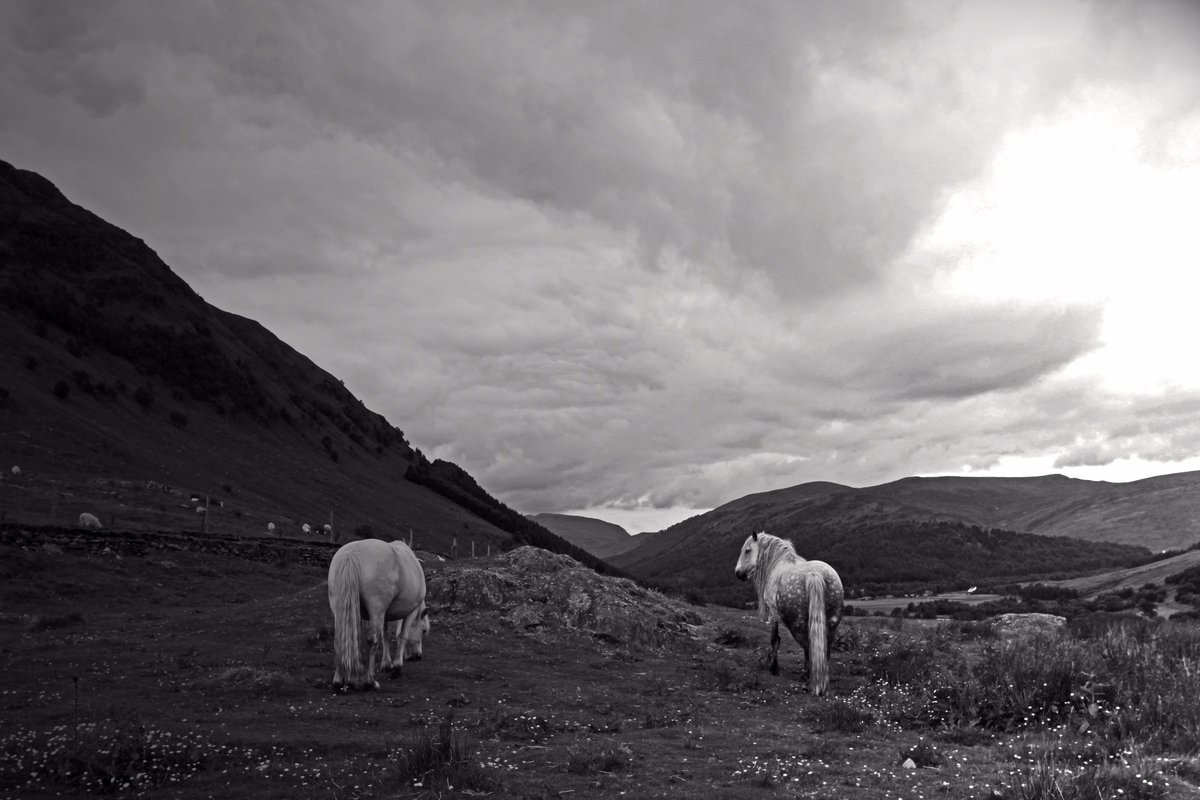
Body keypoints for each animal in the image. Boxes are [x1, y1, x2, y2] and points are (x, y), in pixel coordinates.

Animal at [327, 539, 429, 691]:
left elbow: (385, 635)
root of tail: (353, 553)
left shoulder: (384, 615)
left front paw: (386, 664)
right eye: (423, 631)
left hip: (342, 611)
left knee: (341, 639)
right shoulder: (411, 612)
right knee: (372, 641)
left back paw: (341, 680)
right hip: (376, 611)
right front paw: (397, 667)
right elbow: (402, 636)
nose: (418, 656)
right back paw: (369, 681)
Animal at [734, 531, 843, 696]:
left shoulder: (773, 616)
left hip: (797, 626)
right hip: (831, 623)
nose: (738, 573)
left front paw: (774, 668)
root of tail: (814, 574)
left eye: (747, 550)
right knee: (824, 648)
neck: (778, 562)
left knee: (808, 646)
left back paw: (807, 679)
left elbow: (775, 640)